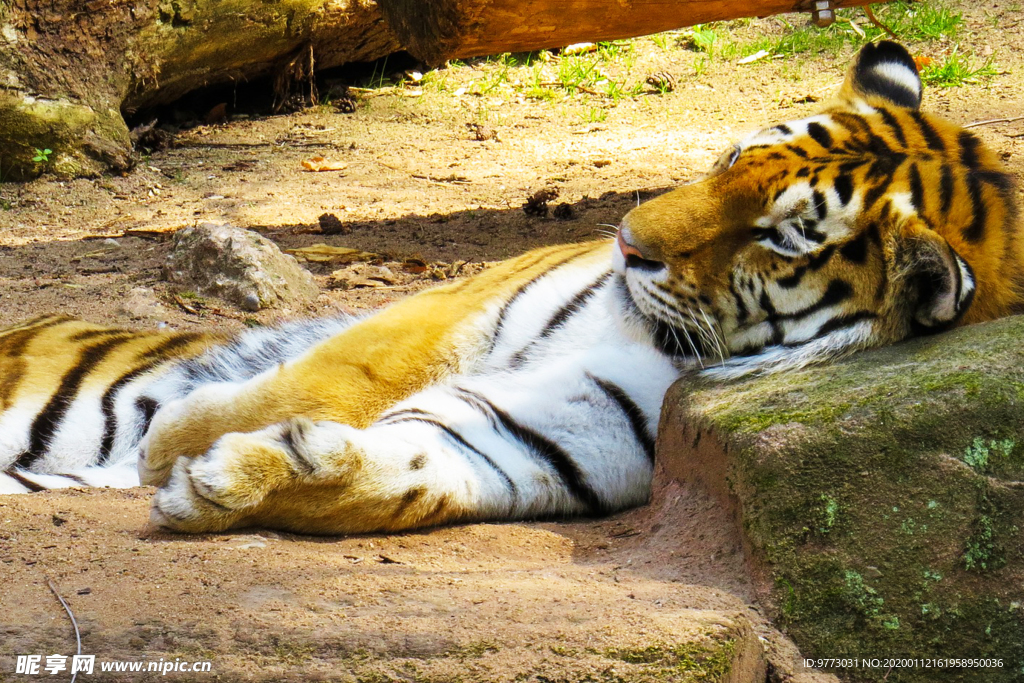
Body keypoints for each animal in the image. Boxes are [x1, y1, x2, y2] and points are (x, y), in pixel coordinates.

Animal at [1, 41, 1021, 535]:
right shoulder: (461, 306)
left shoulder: (562, 432)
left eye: (780, 236)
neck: (654, 337)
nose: (628, 243)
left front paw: (228, 481)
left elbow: (420, 472)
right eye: (734, 158)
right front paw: (172, 441)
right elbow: (335, 372)